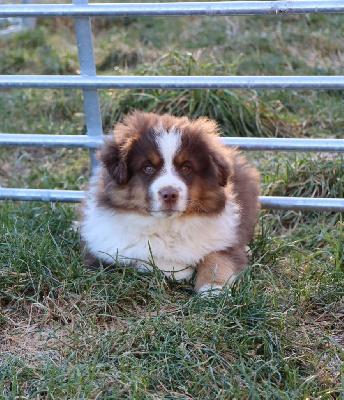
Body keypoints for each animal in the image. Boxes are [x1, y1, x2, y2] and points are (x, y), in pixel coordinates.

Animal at [79, 111, 260, 294]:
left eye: (186, 168)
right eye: (148, 168)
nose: (170, 194)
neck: (169, 225)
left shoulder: (222, 239)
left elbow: (217, 258)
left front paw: (213, 288)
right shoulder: (108, 250)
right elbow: (142, 257)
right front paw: (179, 271)